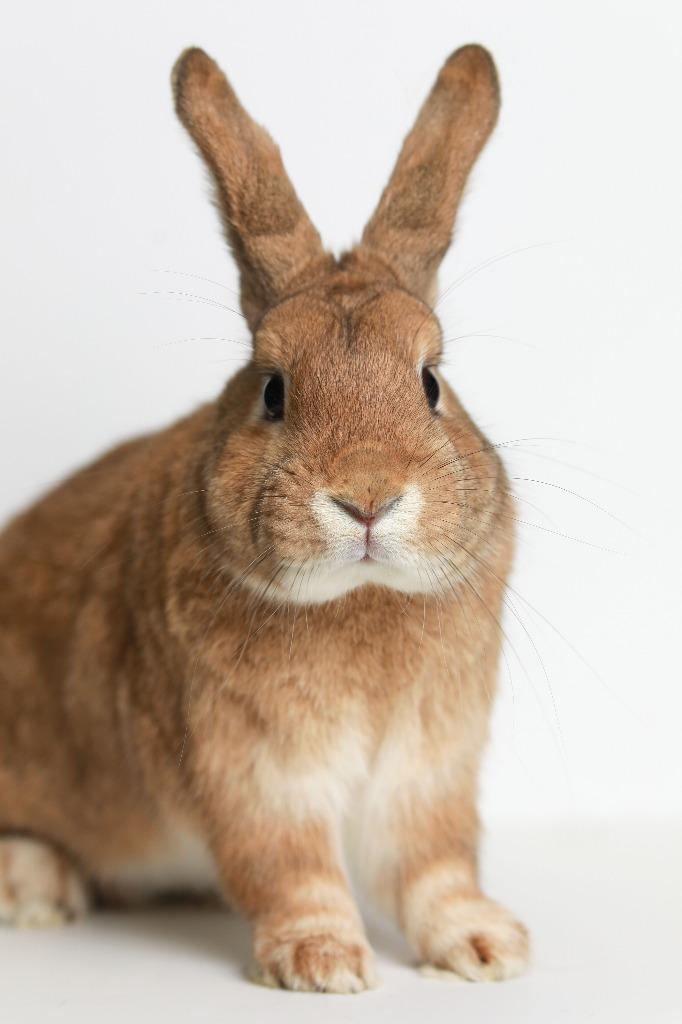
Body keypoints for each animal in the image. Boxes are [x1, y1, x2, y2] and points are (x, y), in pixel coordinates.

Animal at [0, 44, 529, 992]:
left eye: (431, 382)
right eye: (274, 391)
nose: (367, 496)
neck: (359, 600)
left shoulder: (428, 770)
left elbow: (436, 864)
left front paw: (484, 949)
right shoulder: (251, 771)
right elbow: (289, 868)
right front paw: (322, 964)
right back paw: (34, 885)